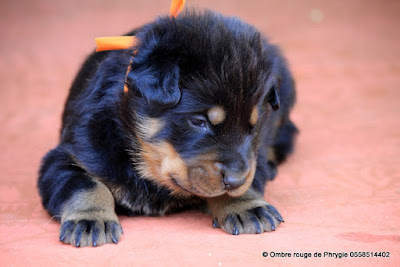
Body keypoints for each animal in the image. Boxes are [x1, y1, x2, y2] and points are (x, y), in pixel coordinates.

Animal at [38, 9, 296, 248]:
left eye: (253, 126)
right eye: (199, 121)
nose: (235, 180)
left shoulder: (253, 156)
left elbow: (251, 174)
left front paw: (247, 205)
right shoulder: (71, 153)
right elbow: (84, 184)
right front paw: (90, 220)